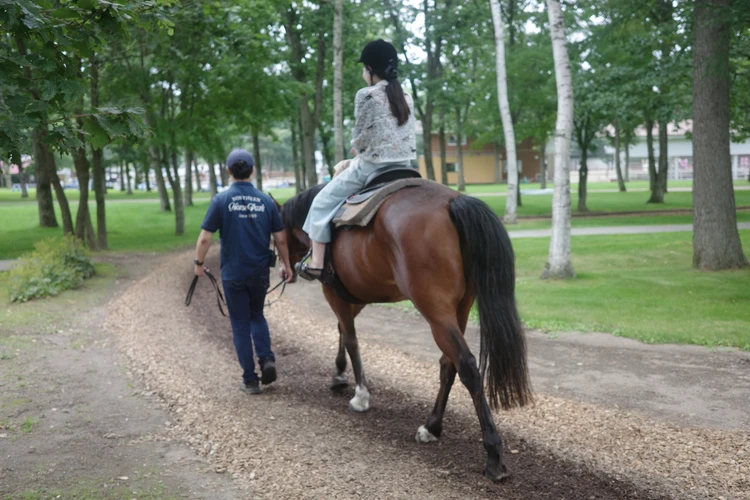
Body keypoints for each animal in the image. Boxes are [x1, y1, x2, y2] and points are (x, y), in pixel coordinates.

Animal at [278, 180, 532, 481]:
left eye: (276, 236)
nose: (285, 273)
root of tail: (453, 202)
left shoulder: (334, 294)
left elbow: (350, 339)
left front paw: (360, 395)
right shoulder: (355, 297)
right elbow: (342, 332)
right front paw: (339, 374)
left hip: (435, 311)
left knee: (467, 365)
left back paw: (493, 455)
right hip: (459, 308)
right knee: (449, 363)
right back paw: (432, 426)